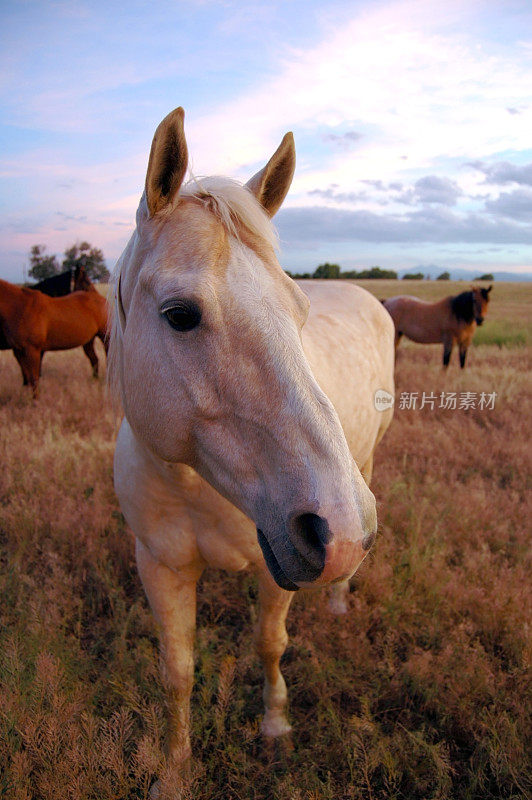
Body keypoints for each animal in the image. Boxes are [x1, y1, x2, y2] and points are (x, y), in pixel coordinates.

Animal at [108, 106, 394, 768]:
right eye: (180, 314)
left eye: (298, 310)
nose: (339, 533)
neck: (195, 486)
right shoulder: (159, 565)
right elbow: (177, 672)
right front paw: (174, 769)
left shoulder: (277, 565)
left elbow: (269, 642)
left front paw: (275, 725)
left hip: (364, 468)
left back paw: (339, 598)